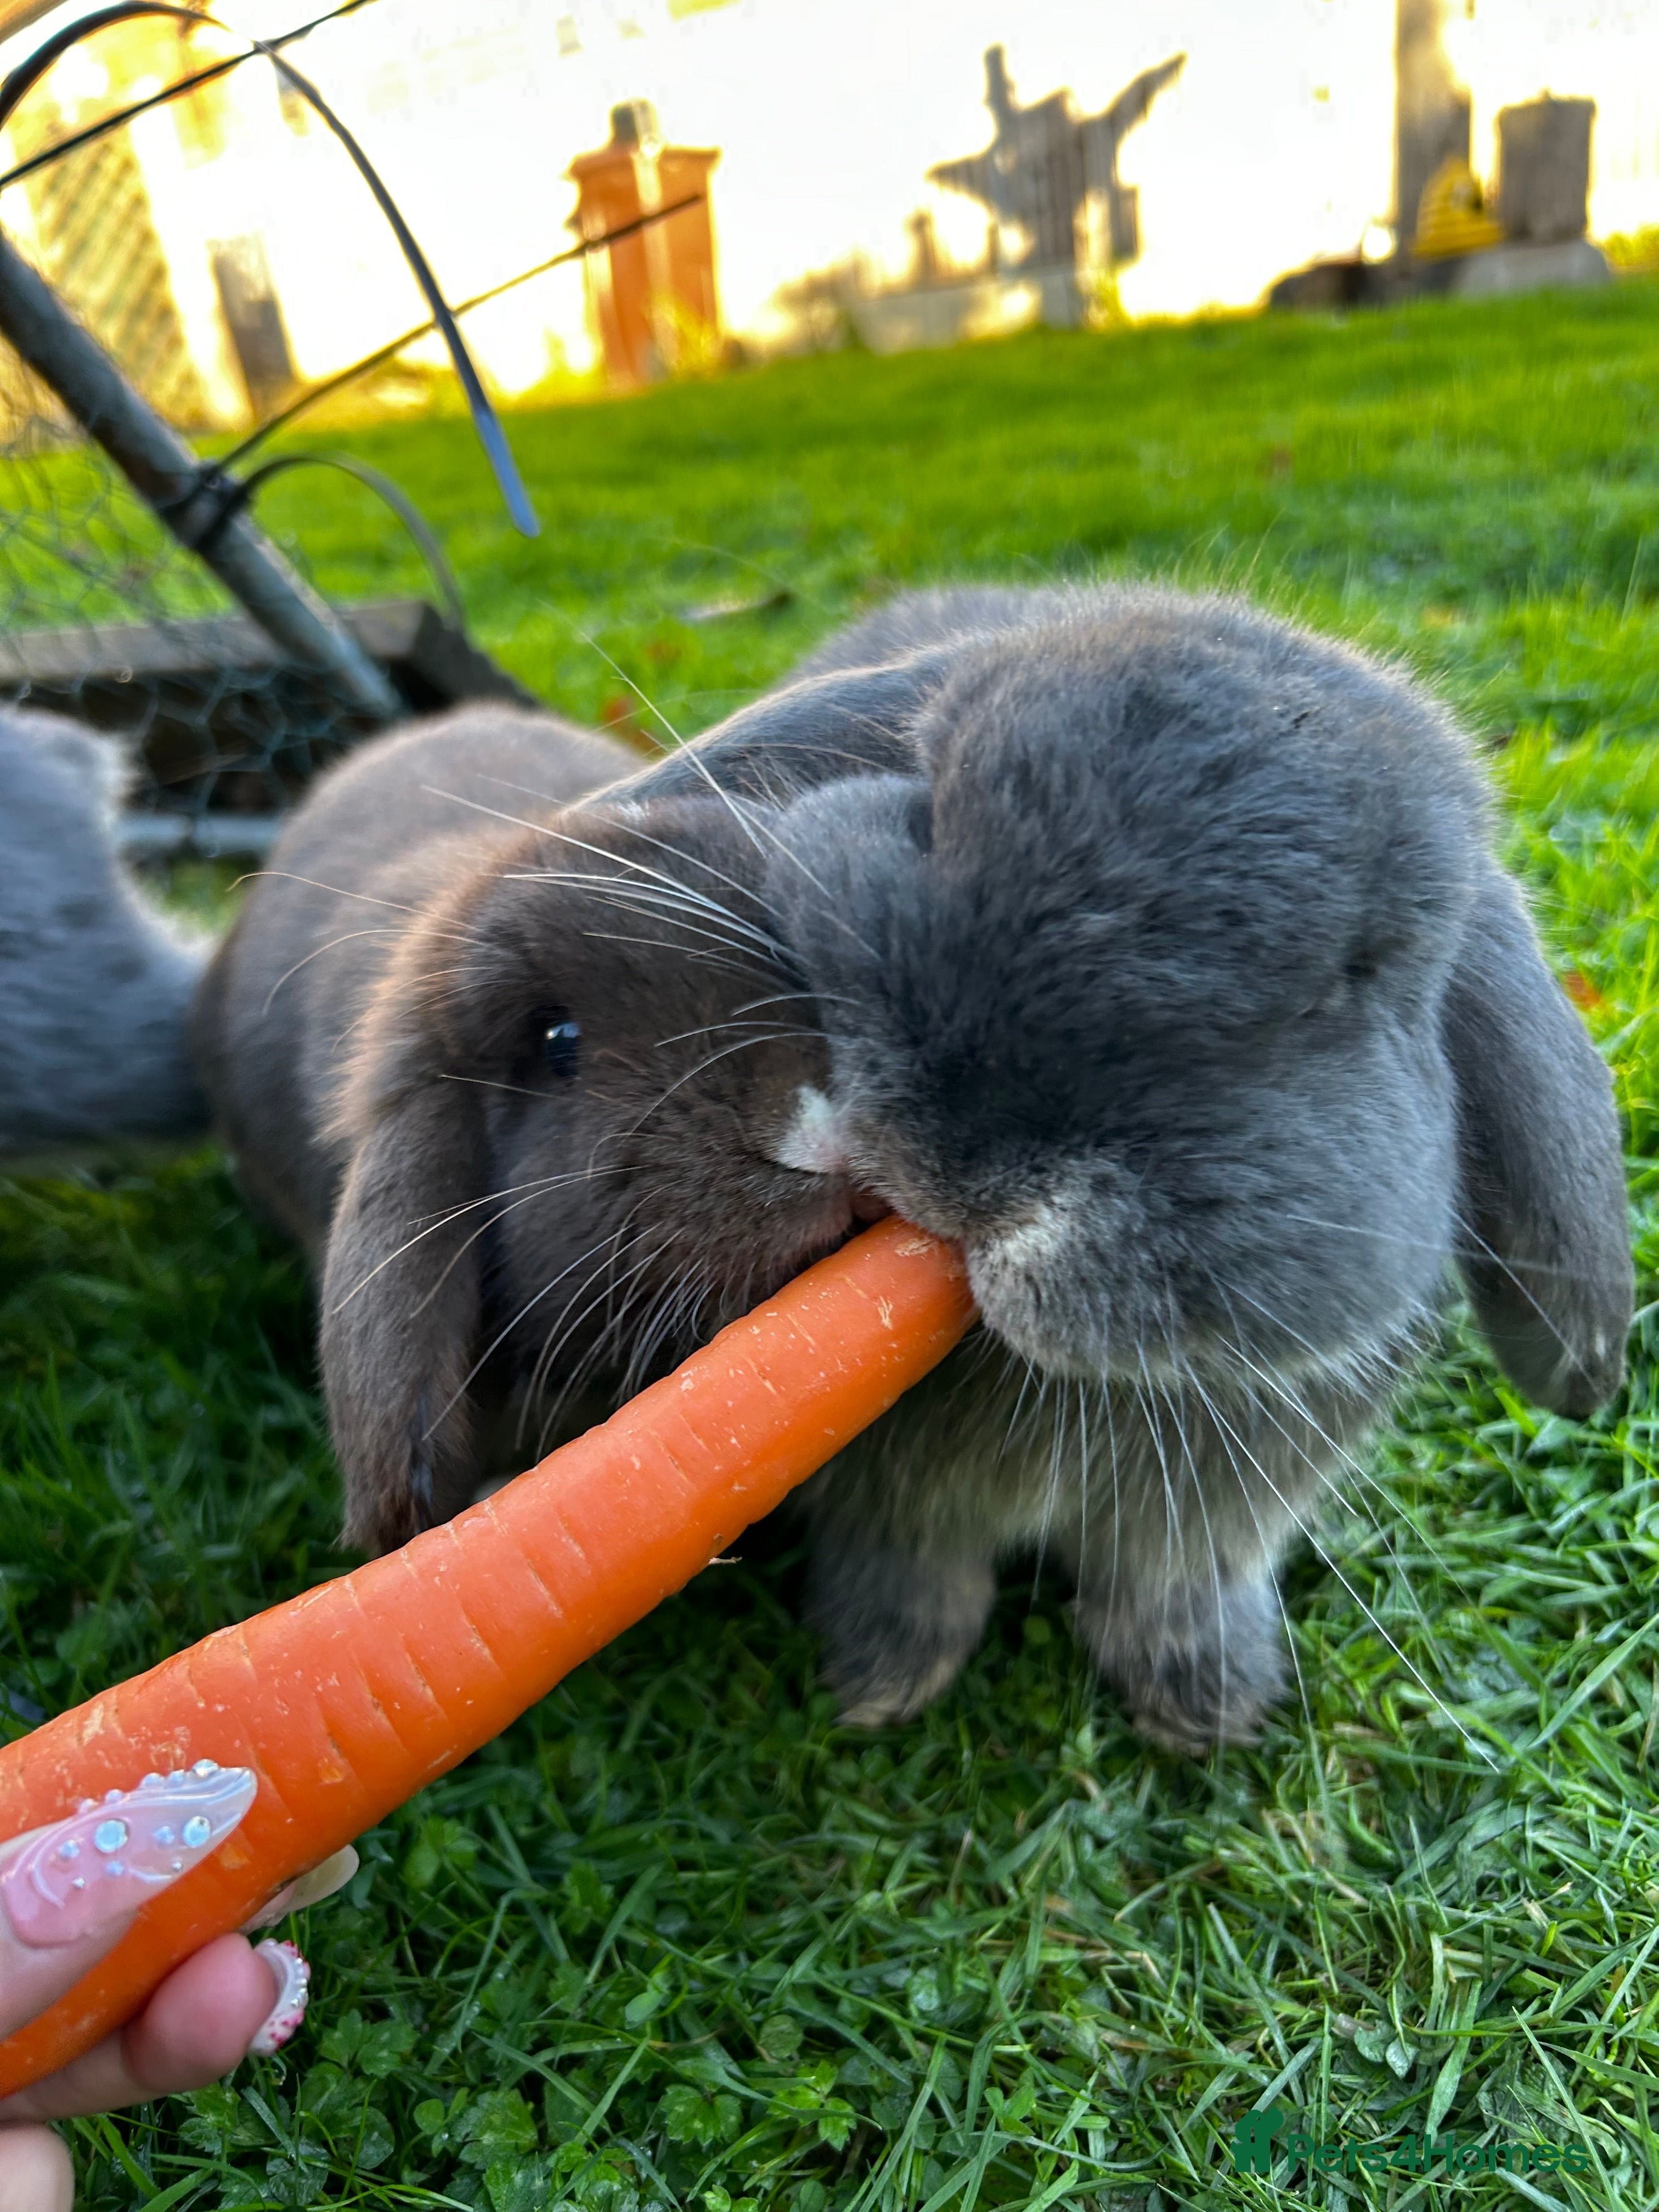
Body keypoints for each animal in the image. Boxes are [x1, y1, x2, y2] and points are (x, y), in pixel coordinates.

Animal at [192, 587, 1633, 1752]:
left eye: (1363, 977)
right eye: (935, 800)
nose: (980, 1166)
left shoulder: (1211, 1518)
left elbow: (1173, 1585)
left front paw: (1206, 1712)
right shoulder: (887, 1506)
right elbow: (910, 1575)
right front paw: (883, 1688)